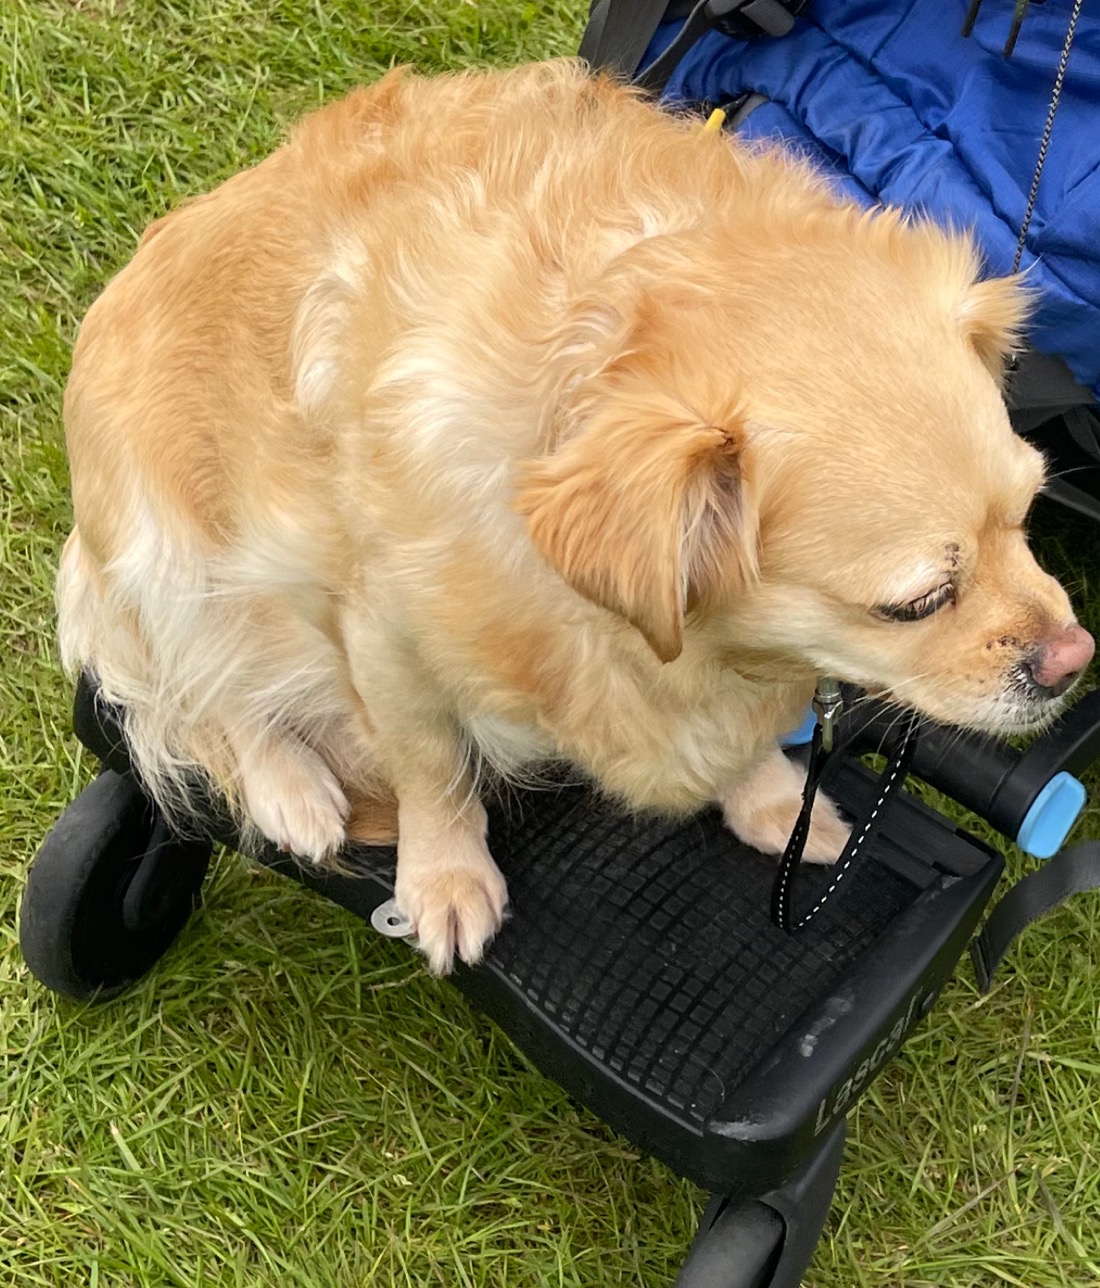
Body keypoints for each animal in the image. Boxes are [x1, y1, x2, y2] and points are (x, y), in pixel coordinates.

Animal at [60, 60, 1092, 968]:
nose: (1074, 661)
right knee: (200, 695)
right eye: (916, 602)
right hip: (163, 561)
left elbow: (749, 736)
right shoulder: (382, 632)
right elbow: (430, 761)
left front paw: (769, 798)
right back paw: (293, 793)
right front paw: (444, 880)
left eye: (1028, 516)